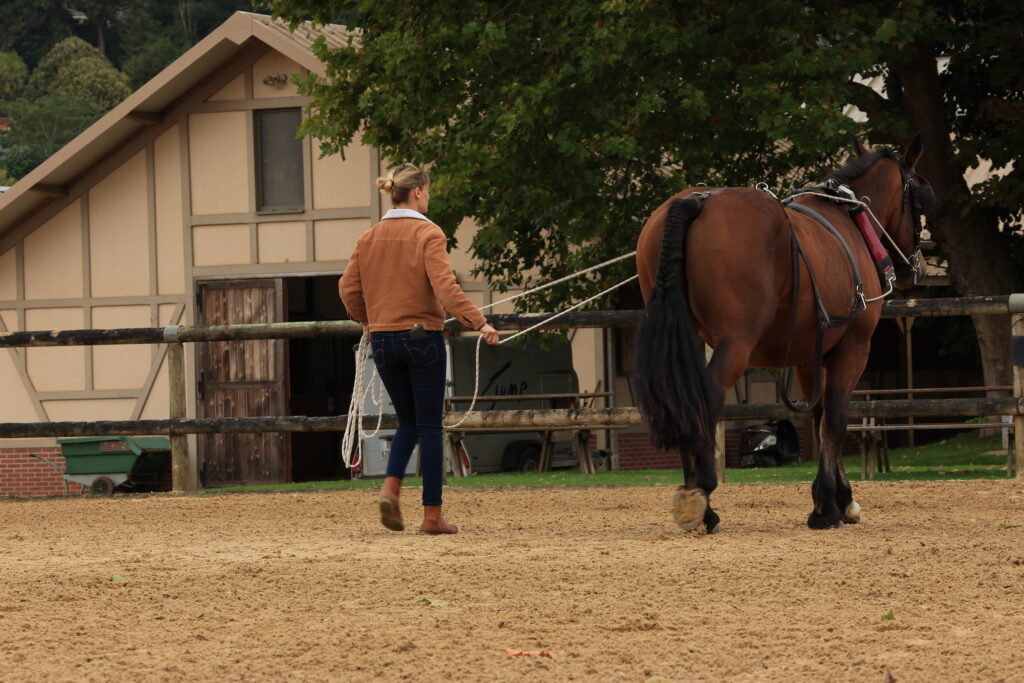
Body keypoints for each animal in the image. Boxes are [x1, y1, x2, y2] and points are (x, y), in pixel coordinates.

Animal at [634, 136, 937, 532]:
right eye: (921, 194)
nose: (918, 267)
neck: (849, 219)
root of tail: (697, 200)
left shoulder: (809, 357)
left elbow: (819, 418)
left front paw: (837, 499)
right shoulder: (853, 348)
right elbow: (836, 420)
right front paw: (828, 507)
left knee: (683, 399)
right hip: (737, 342)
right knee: (705, 397)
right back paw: (702, 496)